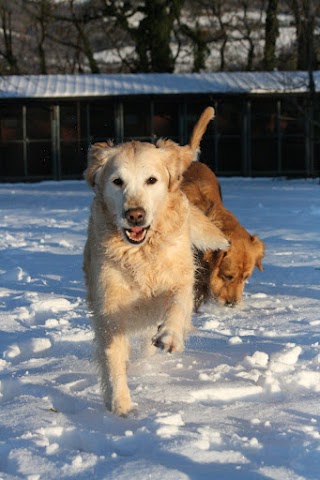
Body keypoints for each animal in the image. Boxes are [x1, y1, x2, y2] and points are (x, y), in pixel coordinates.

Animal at [82, 107, 228, 414]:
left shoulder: (181, 278)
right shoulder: (109, 305)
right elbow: (113, 356)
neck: (142, 253)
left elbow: (177, 303)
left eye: (152, 180)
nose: (135, 215)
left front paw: (169, 335)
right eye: (117, 182)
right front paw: (120, 403)